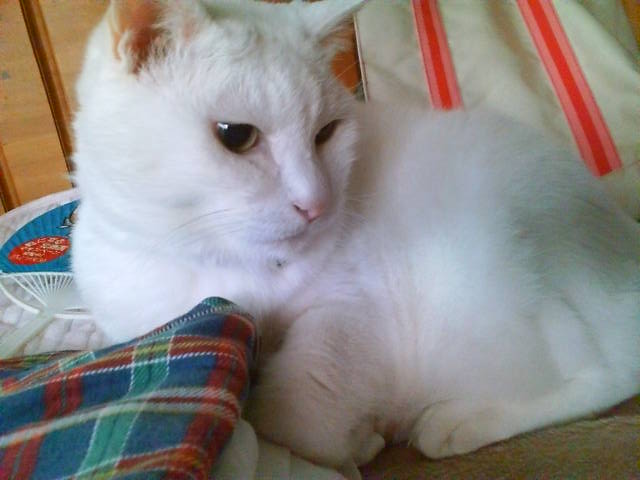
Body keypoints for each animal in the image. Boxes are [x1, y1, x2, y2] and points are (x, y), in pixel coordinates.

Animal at [72, 0, 640, 469]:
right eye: (236, 136)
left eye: (326, 133)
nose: (316, 203)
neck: (226, 266)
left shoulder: (347, 312)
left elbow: (291, 411)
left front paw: (359, 440)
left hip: (487, 283)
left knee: (601, 372)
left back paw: (455, 422)